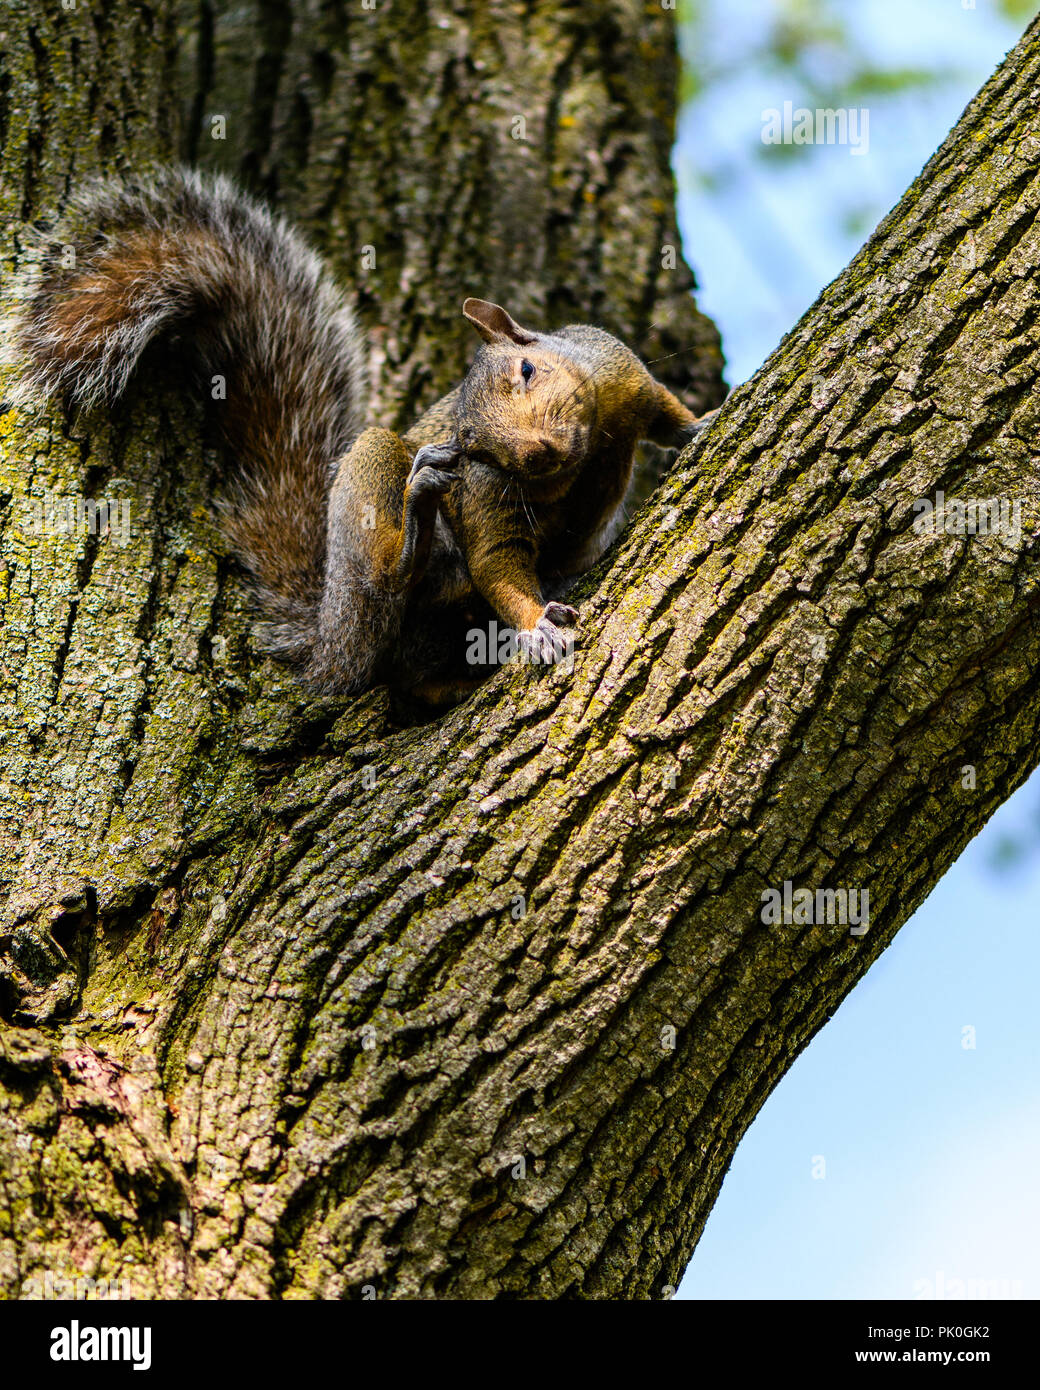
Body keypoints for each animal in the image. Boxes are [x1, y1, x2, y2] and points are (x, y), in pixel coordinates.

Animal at [4, 168, 717, 700]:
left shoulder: (620, 377)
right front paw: (539, 625)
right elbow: (498, 563)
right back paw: (417, 514)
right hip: (373, 500)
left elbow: (662, 410)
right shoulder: (488, 498)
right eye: (477, 452)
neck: (588, 459)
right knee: (389, 600)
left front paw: (703, 421)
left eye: (527, 368)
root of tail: (326, 627)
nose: (537, 453)